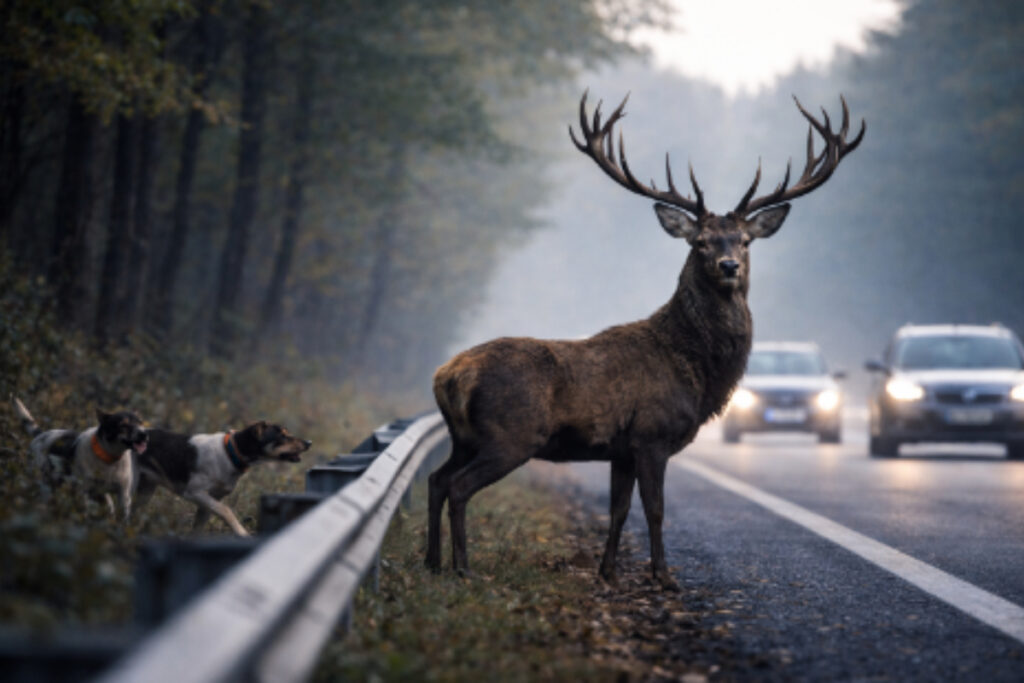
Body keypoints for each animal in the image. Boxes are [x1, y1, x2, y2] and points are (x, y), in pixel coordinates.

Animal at [427, 91, 864, 589]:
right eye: (700, 242)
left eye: (745, 240)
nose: (729, 266)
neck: (697, 371)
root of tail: (447, 375)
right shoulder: (652, 434)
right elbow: (654, 510)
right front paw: (663, 576)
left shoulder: (621, 448)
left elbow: (619, 510)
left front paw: (608, 573)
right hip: (510, 435)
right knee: (458, 486)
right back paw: (462, 567)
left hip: (463, 437)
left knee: (436, 480)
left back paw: (432, 562)